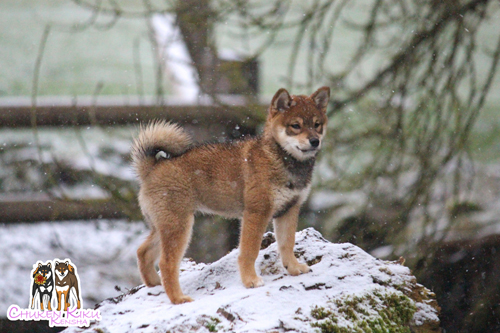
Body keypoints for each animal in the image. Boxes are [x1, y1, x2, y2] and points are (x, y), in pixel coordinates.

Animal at [131, 86, 330, 304]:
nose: (315, 141)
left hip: (165, 226)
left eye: (317, 124)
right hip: (179, 226)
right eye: (295, 125)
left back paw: (154, 285)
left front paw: (293, 268)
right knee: (166, 263)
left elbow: (287, 244)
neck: (279, 158)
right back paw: (178, 298)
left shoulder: (289, 210)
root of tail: (151, 168)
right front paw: (250, 280)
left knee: (143, 252)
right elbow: (249, 251)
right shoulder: (257, 212)